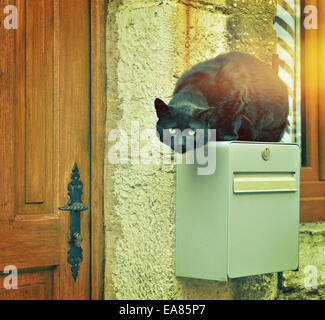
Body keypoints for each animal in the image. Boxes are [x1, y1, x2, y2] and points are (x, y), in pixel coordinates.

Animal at [154, 51, 288, 154]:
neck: (195, 88)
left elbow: (232, 117)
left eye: (192, 132)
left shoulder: (238, 95)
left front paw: (228, 135)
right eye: (172, 131)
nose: (181, 143)